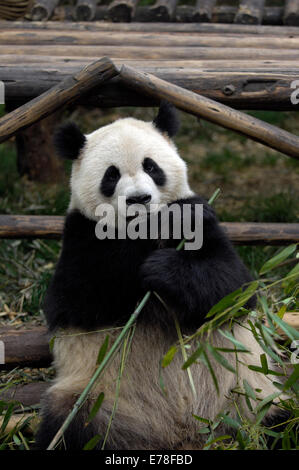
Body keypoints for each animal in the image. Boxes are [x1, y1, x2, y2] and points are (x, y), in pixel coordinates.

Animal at [35, 102, 286, 448]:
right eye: (111, 175)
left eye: (151, 166)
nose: (139, 199)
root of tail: (181, 435)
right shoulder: (78, 236)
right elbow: (76, 299)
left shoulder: (207, 225)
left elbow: (232, 287)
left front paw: (168, 259)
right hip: (93, 399)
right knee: (65, 428)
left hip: (253, 395)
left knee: (279, 419)